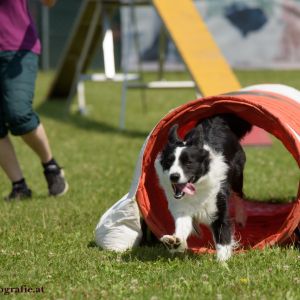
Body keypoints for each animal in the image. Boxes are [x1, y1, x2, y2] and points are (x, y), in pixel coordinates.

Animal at [155, 113, 251, 262]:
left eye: (188, 163)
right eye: (168, 162)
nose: (174, 176)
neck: (197, 187)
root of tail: (218, 119)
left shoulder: (218, 207)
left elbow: (222, 236)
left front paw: (223, 262)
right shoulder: (182, 207)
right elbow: (182, 225)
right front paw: (174, 241)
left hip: (237, 173)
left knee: (239, 194)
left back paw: (241, 217)